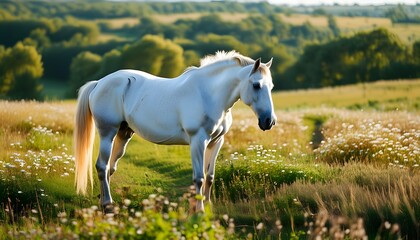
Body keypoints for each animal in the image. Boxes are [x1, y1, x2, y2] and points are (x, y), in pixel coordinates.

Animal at [74, 50, 278, 212]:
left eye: (271, 86)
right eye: (256, 85)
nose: (269, 121)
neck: (209, 94)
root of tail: (99, 83)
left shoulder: (216, 142)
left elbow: (210, 176)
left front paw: (208, 205)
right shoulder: (198, 141)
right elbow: (199, 178)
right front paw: (199, 210)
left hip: (123, 134)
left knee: (110, 168)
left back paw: (103, 202)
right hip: (107, 133)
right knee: (102, 166)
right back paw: (107, 205)